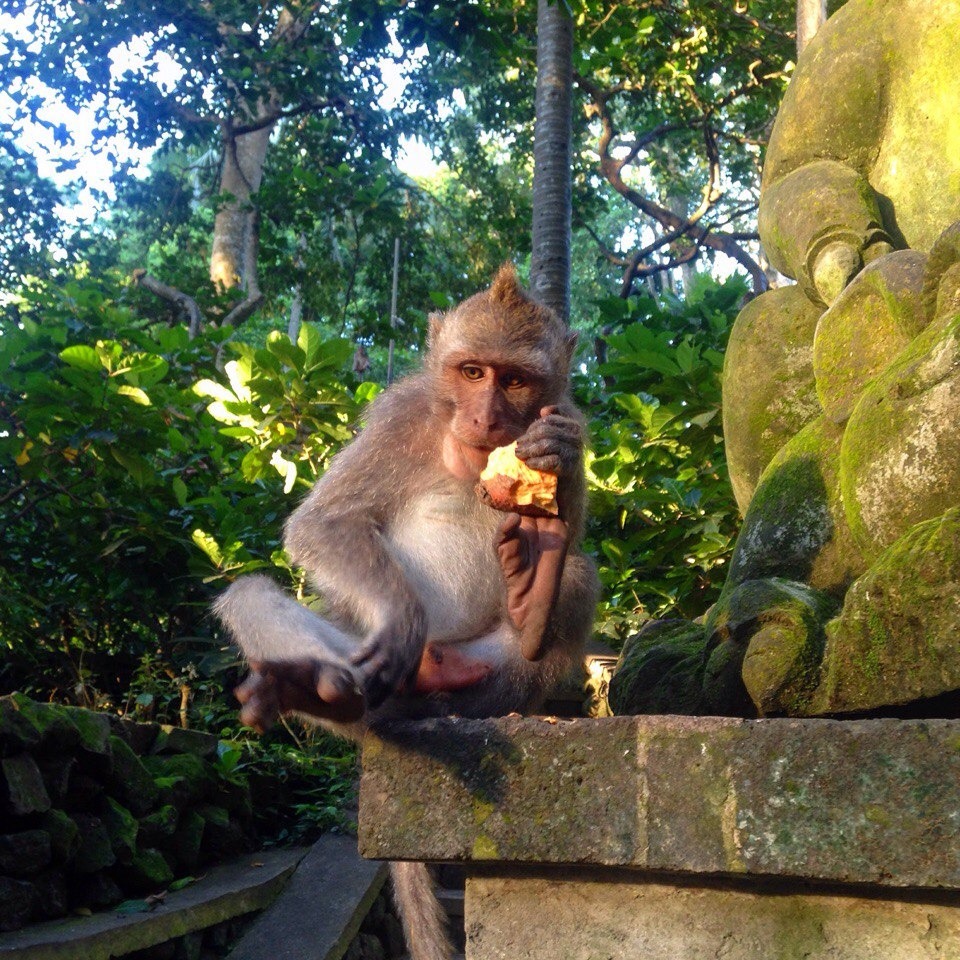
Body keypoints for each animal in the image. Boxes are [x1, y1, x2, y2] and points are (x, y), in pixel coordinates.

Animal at [213, 264, 599, 960]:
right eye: (472, 371)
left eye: (515, 380)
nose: (485, 415)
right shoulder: (402, 417)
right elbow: (323, 523)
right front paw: (403, 619)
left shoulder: (569, 417)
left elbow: (569, 499)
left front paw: (550, 508)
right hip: (368, 680)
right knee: (251, 597)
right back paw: (320, 688)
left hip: (480, 675)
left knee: (576, 579)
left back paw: (530, 601)